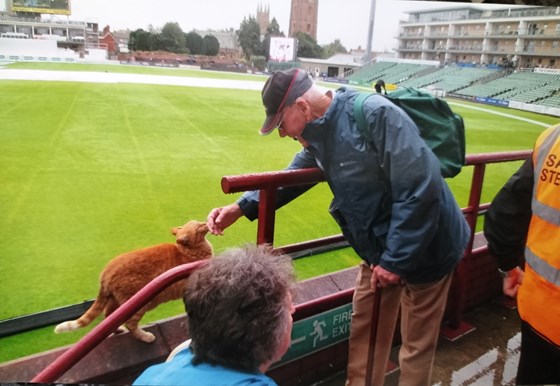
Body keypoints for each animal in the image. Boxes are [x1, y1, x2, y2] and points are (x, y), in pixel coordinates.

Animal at [54, 220, 212, 344]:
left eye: (199, 222)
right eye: (199, 226)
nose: (205, 222)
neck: (188, 251)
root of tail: (105, 273)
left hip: (117, 302)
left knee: (109, 317)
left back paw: (118, 330)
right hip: (139, 304)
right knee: (130, 324)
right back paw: (146, 337)